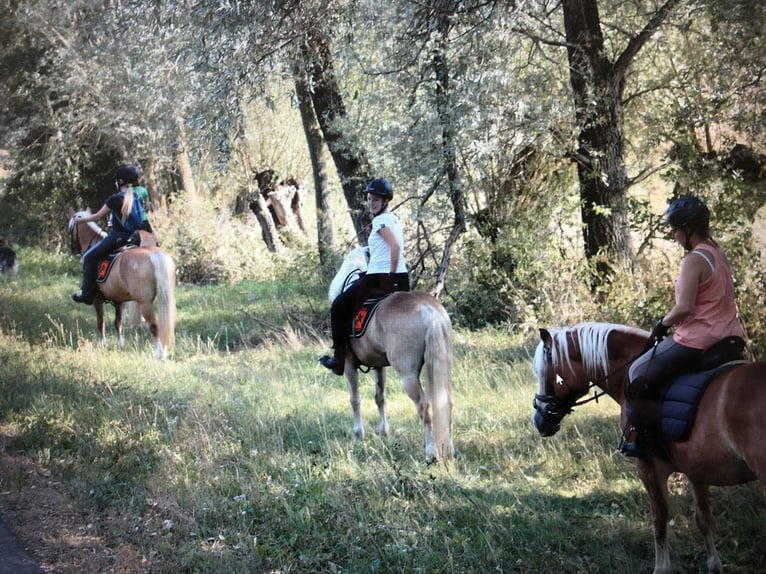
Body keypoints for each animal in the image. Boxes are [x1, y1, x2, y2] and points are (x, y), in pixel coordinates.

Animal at [68, 209, 177, 360]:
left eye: (71, 229)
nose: (73, 249)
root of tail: (153, 254)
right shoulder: (118, 300)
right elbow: (118, 323)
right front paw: (120, 345)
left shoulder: (97, 299)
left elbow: (100, 323)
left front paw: (103, 344)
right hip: (164, 298)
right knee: (164, 325)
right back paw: (164, 353)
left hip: (144, 303)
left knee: (154, 326)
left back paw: (159, 355)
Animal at [328, 248, 452, 464]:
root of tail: (428, 310)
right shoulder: (379, 366)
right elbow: (380, 397)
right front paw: (384, 432)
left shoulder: (350, 364)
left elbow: (355, 399)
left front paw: (358, 434)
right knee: (447, 404)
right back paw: (449, 451)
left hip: (407, 375)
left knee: (425, 406)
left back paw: (431, 454)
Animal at [536, 324, 766, 574]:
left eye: (544, 373)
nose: (539, 421)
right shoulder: (696, 468)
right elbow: (703, 518)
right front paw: (714, 565)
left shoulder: (649, 466)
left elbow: (659, 519)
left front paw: (661, 567)